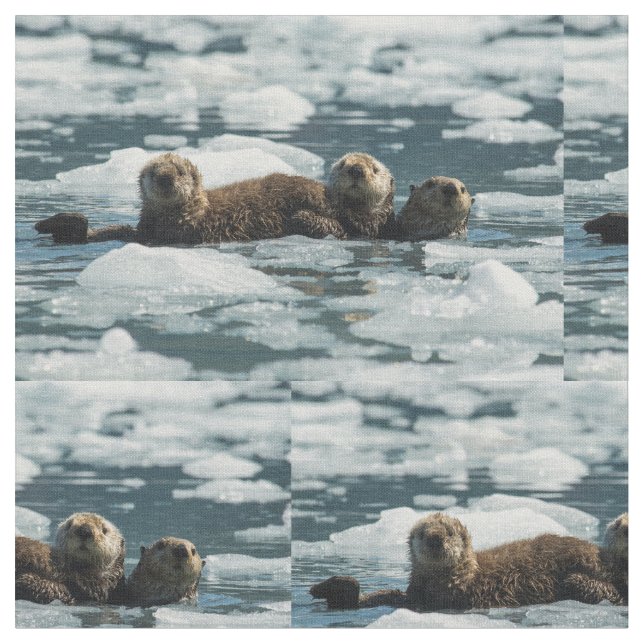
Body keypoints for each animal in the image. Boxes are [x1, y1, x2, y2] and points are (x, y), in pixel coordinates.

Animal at [310, 513, 624, 611]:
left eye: (448, 532)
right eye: (422, 533)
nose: (435, 538)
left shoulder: (449, 596)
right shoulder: (417, 594)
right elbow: (390, 597)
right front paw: (332, 587)